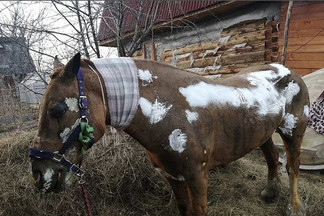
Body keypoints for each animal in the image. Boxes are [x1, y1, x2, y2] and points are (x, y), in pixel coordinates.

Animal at [29, 52, 308, 216]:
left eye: (58, 109)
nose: (39, 174)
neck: (170, 110)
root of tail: (288, 71)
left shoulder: (198, 177)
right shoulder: (171, 176)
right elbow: (184, 208)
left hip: (293, 131)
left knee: (292, 167)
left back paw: (294, 207)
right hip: (265, 132)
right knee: (272, 158)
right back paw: (270, 193)